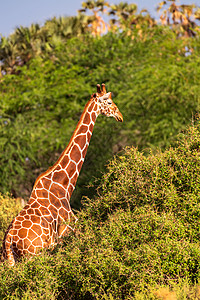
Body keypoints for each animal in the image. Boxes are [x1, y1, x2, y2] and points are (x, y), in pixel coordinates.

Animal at [1, 82, 122, 264]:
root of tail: (8, 241)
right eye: (108, 101)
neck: (64, 185)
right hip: (36, 255)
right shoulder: (69, 231)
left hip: (11, 262)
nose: (120, 115)